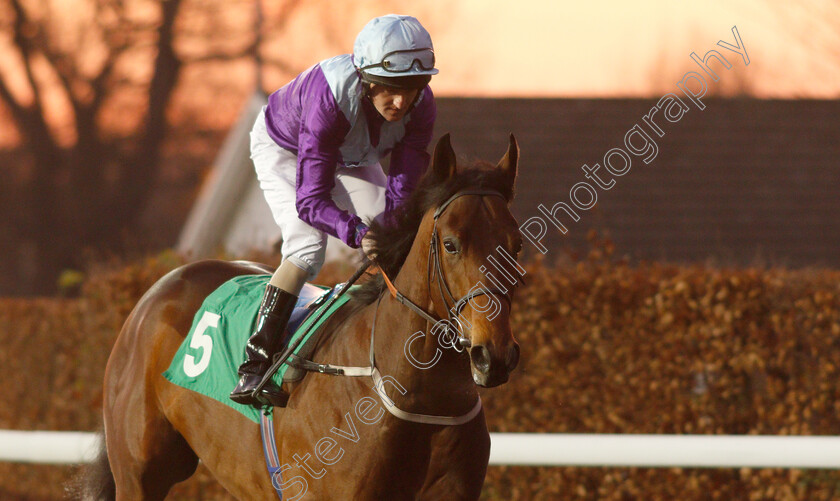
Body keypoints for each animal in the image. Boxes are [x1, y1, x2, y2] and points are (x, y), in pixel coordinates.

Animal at [87, 131, 520, 498]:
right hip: (140, 474)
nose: (494, 354)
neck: (419, 398)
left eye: (516, 244)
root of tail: (162, 285)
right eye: (450, 244)